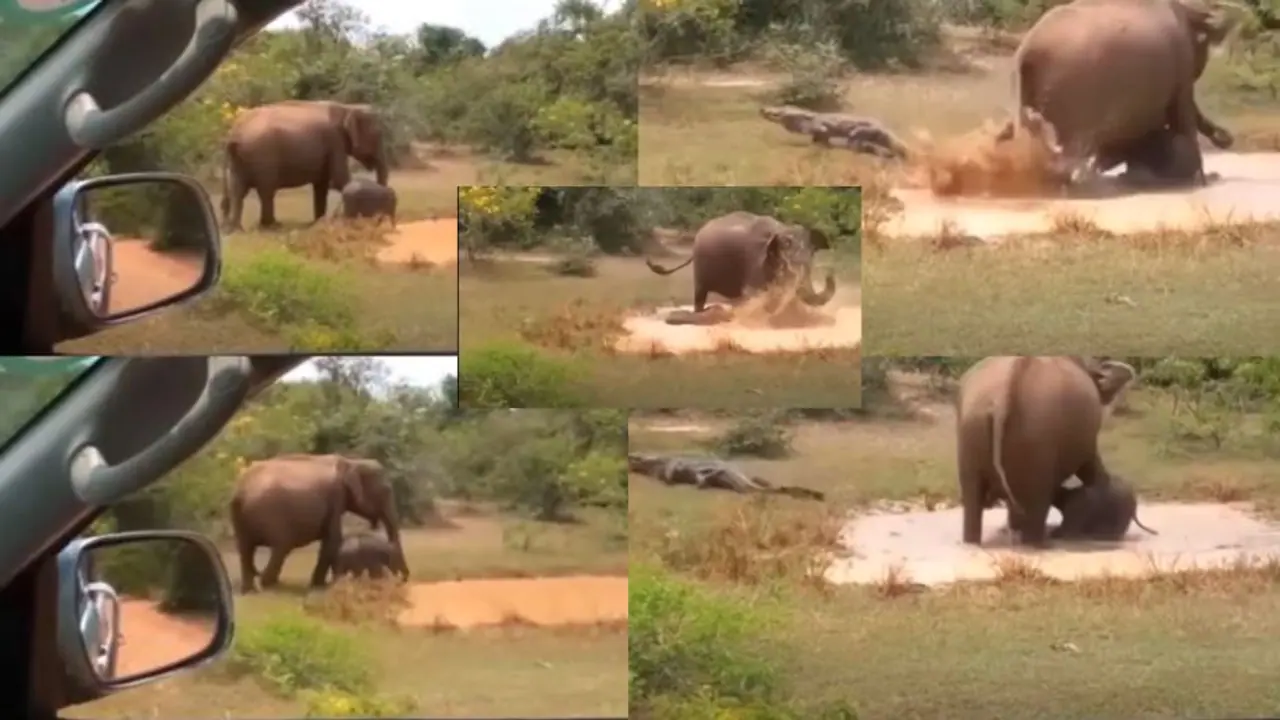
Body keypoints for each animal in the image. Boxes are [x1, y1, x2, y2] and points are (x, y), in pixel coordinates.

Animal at [221, 100, 390, 232]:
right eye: (378, 134)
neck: (347, 107)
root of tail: (234, 133)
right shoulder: (335, 142)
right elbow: (339, 179)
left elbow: (322, 186)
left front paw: (319, 222)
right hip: (262, 156)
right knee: (266, 191)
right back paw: (271, 226)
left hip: (239, 161)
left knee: (238, 191)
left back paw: (236, 229)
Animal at [229, 453, 406, 594]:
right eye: (386, 490)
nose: (404, 581)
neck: (351, 461)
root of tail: (240, 492)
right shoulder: (335, 496)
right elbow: (333, 538)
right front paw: (321, 585)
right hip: (271, 516)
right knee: (281, 547)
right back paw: (266, 585)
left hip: (240, 519)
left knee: (245, 549)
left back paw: (250, 588)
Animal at [645, 211, 837, 320]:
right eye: (783, 263)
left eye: (811, 259)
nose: (829, 274)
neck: (779, 230)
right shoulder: (754, 261)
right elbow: (753, 293)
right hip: (700, 268)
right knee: (700, 293)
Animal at [955, 356, 1138, 547]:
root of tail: (1002, 392)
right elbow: (1088, 462)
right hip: (1036, 434)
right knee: (1037, 497)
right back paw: (1035, 543)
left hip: (972, 427)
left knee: (973, 495)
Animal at [998, 0, 1237, 189]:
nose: (1227, 137)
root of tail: (1026, 47)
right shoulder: (1181, 68)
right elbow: (1183, 115)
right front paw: (1201, 181)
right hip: (1073, 93)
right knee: (1070, 146)